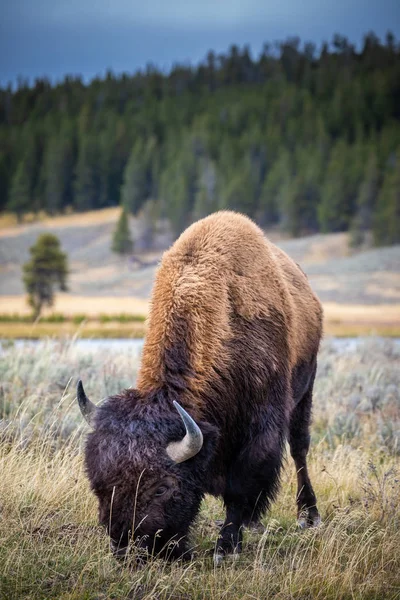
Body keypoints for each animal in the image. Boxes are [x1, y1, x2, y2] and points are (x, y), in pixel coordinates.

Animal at [76, 211, 324, 564]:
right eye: (98, 483)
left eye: (162, 487)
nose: (130, 550)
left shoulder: (260, 428)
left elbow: (241, 485)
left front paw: (226, 549)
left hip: (306, 388)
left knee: (299, 447)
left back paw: (308, 515)